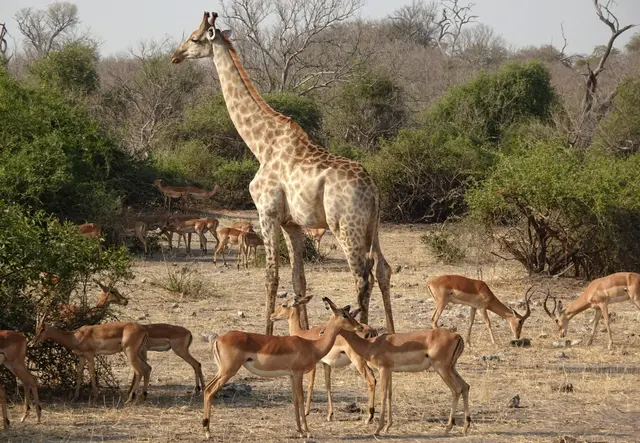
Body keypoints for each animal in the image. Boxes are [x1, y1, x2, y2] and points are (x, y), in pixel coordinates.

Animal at [172, 12, 395, 334]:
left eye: (194, 38)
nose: (175, 56)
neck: (261, 144)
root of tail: (373, 190)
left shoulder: (268, 212)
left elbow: (271, 277)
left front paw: (266, 332)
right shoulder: (292, 223)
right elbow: (298, 280)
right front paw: (303, 331)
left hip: (346, 226)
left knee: (361, 276)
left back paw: (363, 331)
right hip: (372, 227)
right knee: (383, 269)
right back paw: (390, 332)